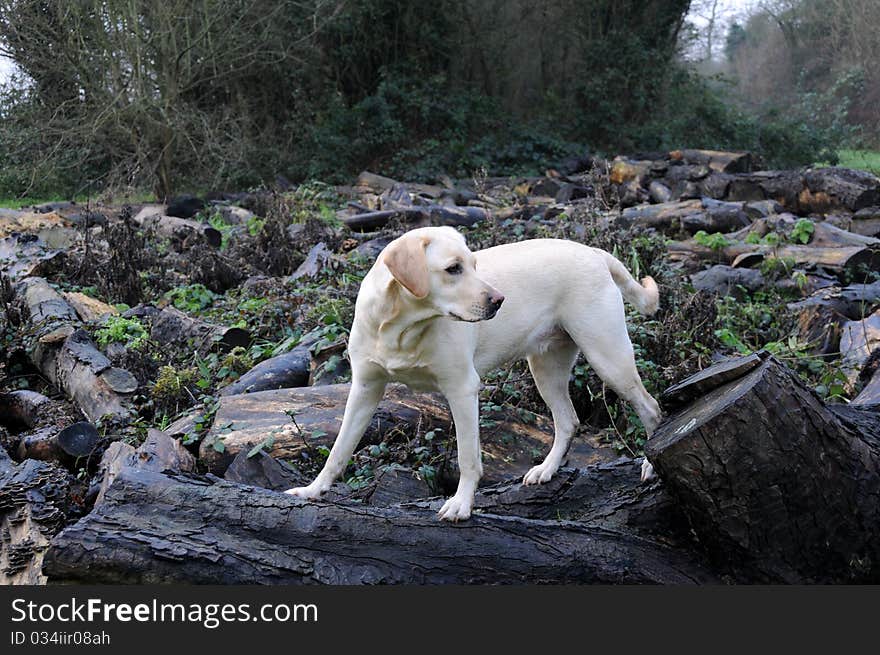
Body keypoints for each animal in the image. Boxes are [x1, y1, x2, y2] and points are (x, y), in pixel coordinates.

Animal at [288, 227, 660, 524]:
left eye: (474, 266)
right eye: (453, 269)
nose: (499, 300)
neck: (400, 327)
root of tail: (593, 252)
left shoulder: (462, 389)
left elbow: (468, 457)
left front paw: (461, 505)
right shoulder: (365, 388)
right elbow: (339, 449)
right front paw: (313, 490)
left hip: (608, 357)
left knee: (650, 408)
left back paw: (651, 466)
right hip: (546, 368)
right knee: (568, 421)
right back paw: (547, 469)